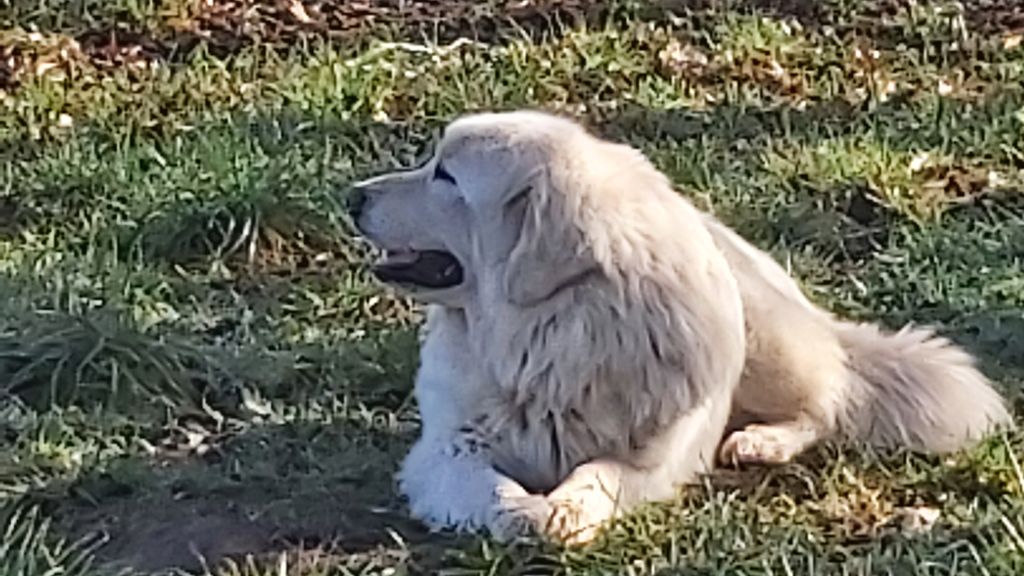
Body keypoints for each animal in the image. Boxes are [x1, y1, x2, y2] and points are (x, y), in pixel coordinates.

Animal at [346, 110, 1014, 544]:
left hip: (765, 338)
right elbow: (486, 484)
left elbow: (598, 474)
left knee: (827, 404)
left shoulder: (649, 462)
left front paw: (564, 510)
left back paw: (760, 442)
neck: (550, 335)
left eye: (446, 176)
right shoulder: (445, 450)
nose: (352, 195)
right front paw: (520, 512)